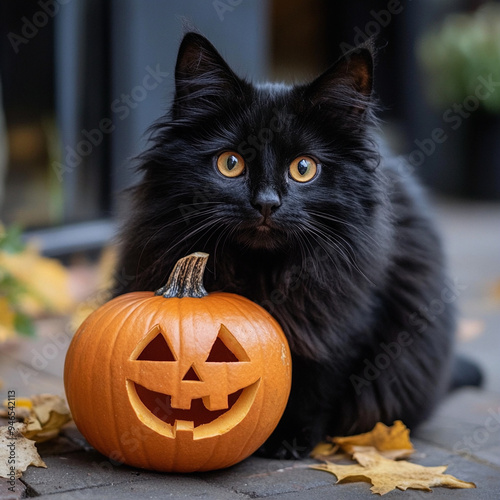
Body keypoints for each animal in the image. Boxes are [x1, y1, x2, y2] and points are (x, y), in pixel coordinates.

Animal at [114, 33, 480, 458]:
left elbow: (313, 383)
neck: (262, 273)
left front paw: (289, 439)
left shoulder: (342, 326)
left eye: (303, 168)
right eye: (230, 163)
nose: (266, 203)